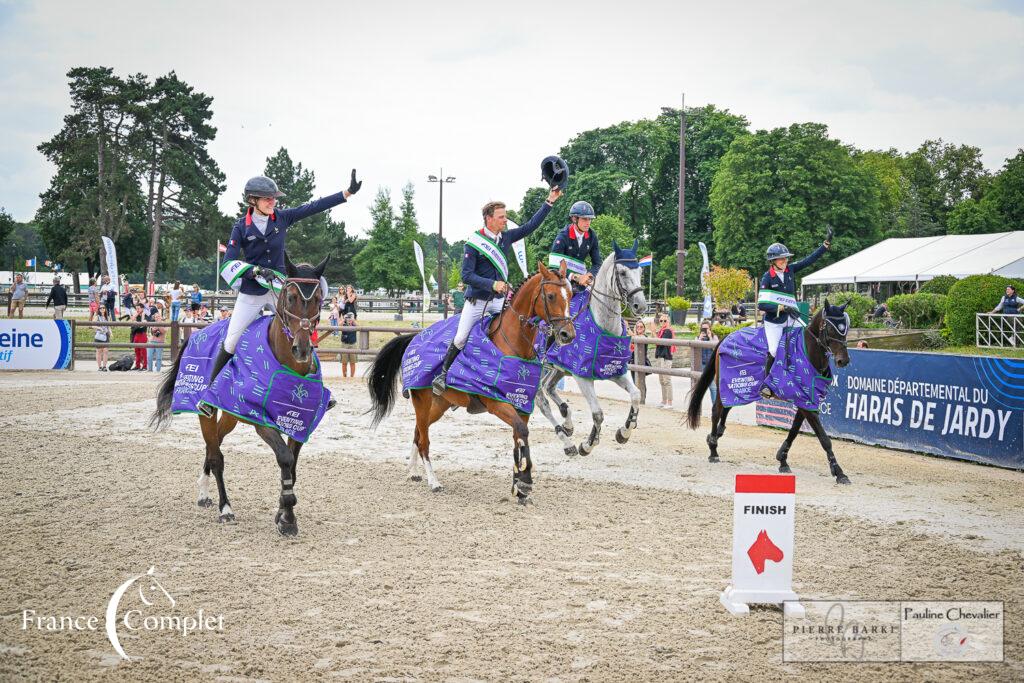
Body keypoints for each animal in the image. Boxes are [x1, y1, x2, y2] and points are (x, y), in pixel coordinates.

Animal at [149, 253, 327, 536]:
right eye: (290, 298)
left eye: (319, 299)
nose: (302, 349)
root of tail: (196, 334)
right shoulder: (262, 422)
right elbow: (285, 459)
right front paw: (287, 517)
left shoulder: (300, 423)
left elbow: (293, 467)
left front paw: (281, 512)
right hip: (206, 413)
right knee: (216, 456)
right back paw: (225, 508)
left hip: (231, 415)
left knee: (215, 445)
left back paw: (204, 492)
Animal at [366, 262, 577, 501]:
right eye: (550, 296)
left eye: (570, 295)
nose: (567, 334)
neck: (512, 345)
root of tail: (415, 337)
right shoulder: (497, 403)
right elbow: (522, 432)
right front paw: (525, 481)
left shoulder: (521, 404)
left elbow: (518, 437)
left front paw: (519, 485)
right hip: (422, 401)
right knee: (424, 441)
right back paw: (433, 481)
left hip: (439, 405)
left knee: (418, 432)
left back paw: (412, 471)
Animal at [536, 242, 647, 456]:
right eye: (622, 272)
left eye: (640, 271)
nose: (641, 305)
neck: (603, 326)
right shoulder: (582, 376)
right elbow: (597, 414)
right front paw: (587, 445)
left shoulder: (615, 370)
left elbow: (636, 395)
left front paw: (624, 432)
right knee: (540, 399)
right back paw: (566, 439)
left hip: (557, 368)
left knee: (549, 387)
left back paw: (567, 422)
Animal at [688, 301, 856, 485]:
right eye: (830, 328)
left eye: (846, 328)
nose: (843, 360)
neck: (807, 353)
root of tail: (727, 337)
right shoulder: (806, 404)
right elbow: (824, 439)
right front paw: (839, 473)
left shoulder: (805, 400)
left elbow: (794, 431)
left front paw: (782, 460)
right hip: (727, 384)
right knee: (716, 410)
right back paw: (713, 450)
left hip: (739, 389)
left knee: (726, 408)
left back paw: (717, 435)